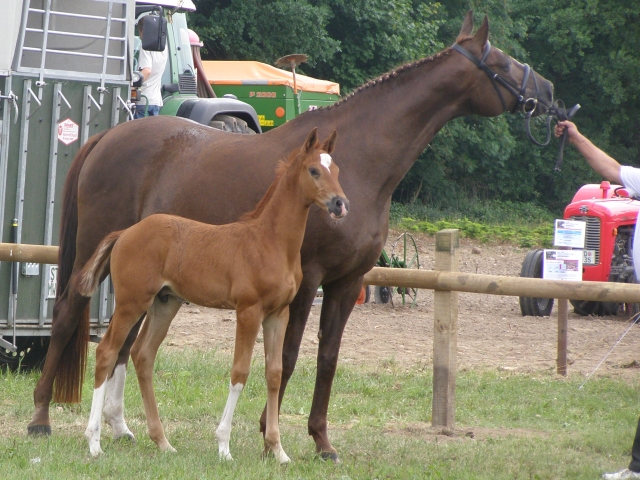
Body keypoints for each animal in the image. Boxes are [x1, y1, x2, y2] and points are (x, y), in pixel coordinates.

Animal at [78, 129, 350, 464]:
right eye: (314, 170)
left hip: (164, 304)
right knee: (107, 352)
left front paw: (278, 450)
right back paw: (94, 442)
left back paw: (163, 442)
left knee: (143, 355)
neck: (270, 242)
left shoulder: (278, 313)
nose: (340, 204)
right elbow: (240, 372)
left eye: (335, 169)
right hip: (132, 302)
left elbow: (274, 373)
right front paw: (223, 446)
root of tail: (125, 233)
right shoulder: (249, 311)